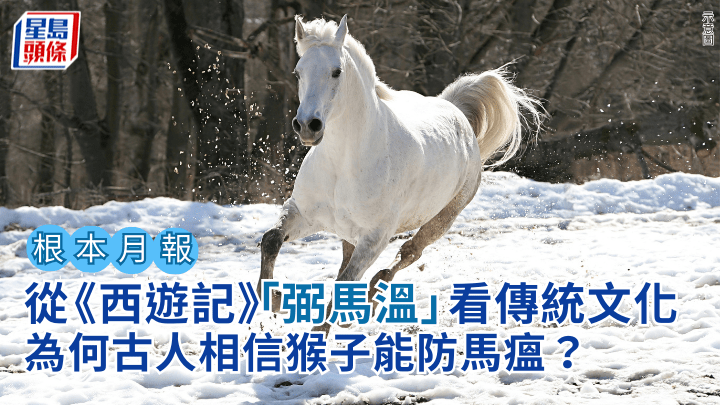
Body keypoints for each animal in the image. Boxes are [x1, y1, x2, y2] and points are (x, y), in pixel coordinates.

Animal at [257, 15, 542, 326]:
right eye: (298, 73)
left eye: (336, 72)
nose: (308, 125)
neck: (343, 164)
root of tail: (455, 110)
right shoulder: (304, 213)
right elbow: (271, 240)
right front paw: (271, 298)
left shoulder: (375, 237)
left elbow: (344, 281)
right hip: (347, 229)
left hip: (443, 217)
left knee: (410, 252)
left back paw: (375, 291)